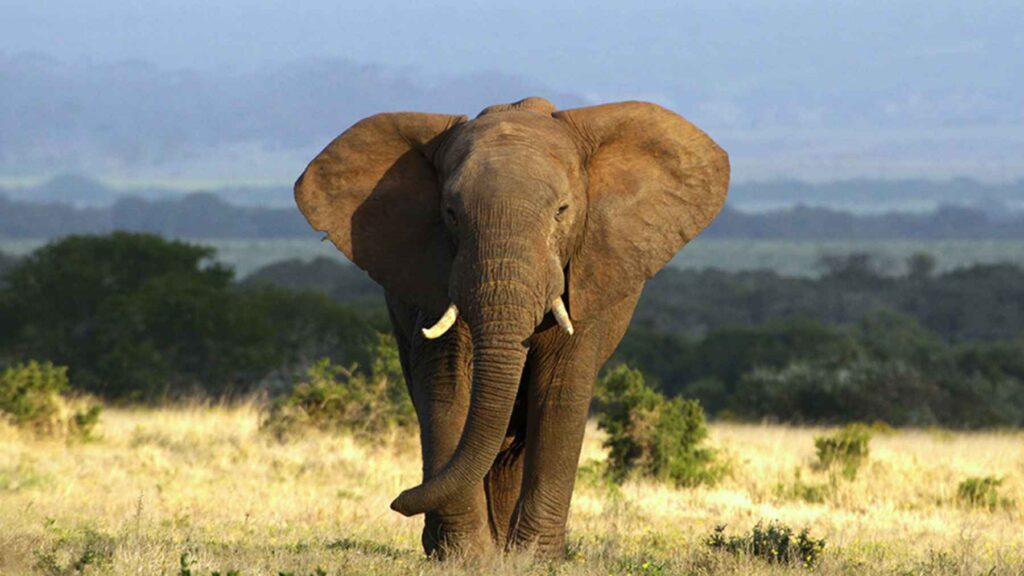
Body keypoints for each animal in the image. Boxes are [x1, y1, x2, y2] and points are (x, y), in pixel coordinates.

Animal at [293, 97, 728, 559]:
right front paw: (465, 556)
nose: (399, 500)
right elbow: (446, 384)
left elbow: (560, 390)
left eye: (561, 212)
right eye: (450, 214)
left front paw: (533, 557)